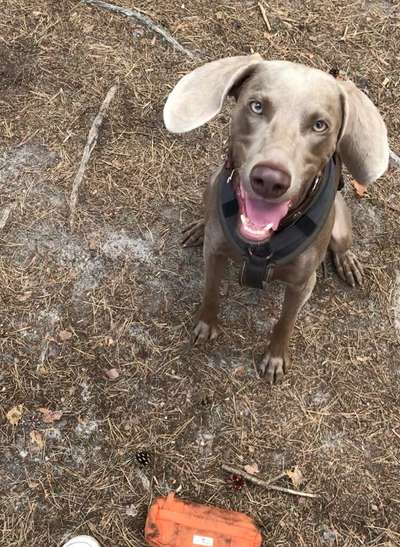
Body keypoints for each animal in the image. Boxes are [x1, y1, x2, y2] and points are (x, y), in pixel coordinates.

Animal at [162, 54, 388, 382]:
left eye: (320, 125)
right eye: (256, 106)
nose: (269, 180)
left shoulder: (302, 284)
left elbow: (285, 322)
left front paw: (275, 358)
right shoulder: (214, 254)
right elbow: (210, 292)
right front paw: (206, 326)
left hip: (341, 225)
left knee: (342, 245)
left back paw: (348, 262)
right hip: (210, 183)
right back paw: (199, 227)